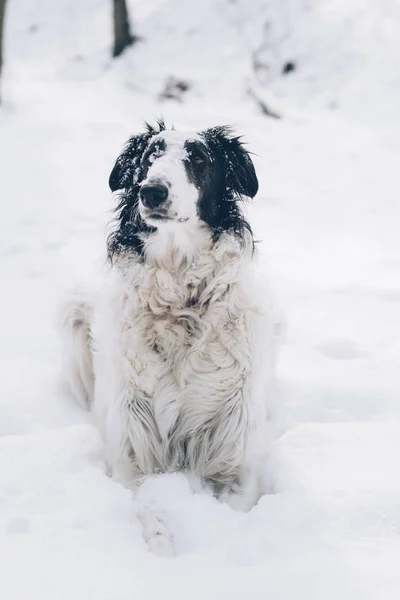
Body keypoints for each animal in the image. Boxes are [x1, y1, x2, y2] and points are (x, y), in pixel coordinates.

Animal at [59, 120, 276, 510]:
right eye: (150, 155)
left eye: (199, 158)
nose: (152, 192)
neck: (180, 303)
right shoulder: (133, 452)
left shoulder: (236, 459)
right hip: (72, 308)